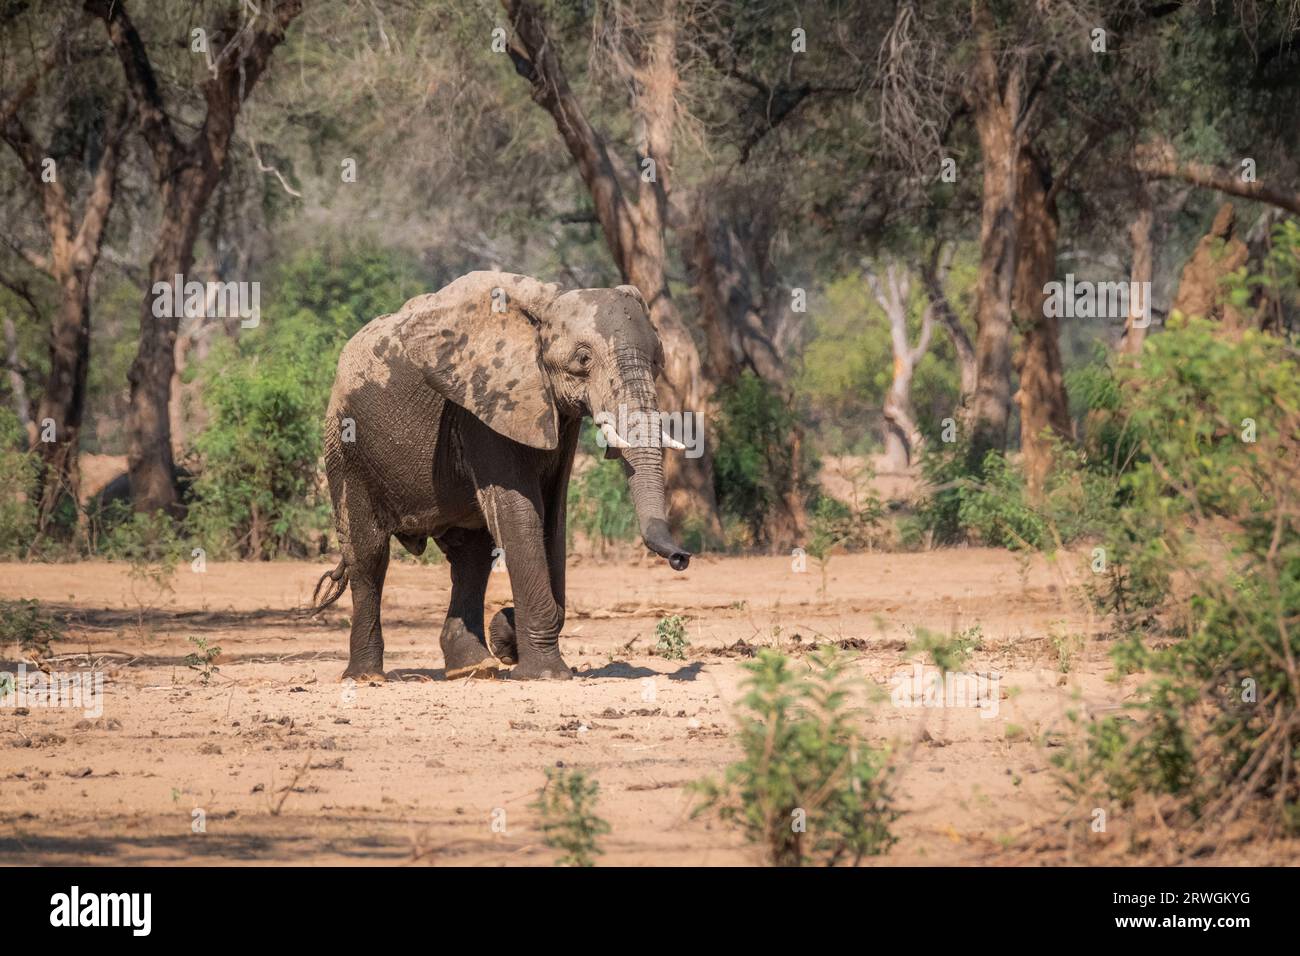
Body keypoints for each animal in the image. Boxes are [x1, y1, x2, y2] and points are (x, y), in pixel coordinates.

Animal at [312, 273, 691, 686]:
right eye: (583, 360)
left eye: (657, 361)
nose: (681, 558)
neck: (546, 305)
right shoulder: (482, 406)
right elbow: (521, 516)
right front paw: (545, 673)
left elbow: (553, 518)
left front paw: (510, 639)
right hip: (345, 444)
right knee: (369, 555)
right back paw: (367, 677)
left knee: (471, 556)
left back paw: (473, 667)